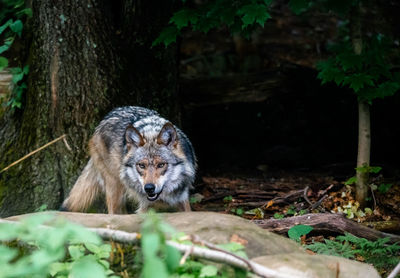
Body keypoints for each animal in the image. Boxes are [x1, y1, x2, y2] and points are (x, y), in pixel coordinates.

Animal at [60, 106, 196, 213]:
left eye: (161, 165)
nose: (149, 188)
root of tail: (104, 120)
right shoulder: (145, 206)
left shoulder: (182, 199)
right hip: (115, 190)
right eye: (141, 165)